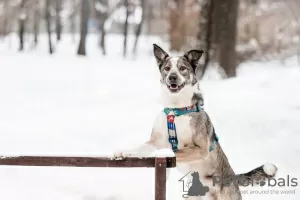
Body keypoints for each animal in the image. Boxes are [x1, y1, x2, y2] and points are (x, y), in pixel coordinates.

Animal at [112, 44, 276, 199]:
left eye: (182, 68)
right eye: (167, 68)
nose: (172, 77)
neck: (175, 110)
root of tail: (233, 177)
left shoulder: (200, 148)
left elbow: (174, 150)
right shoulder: (155, 141)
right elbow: (139, 149)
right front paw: (122, 152)